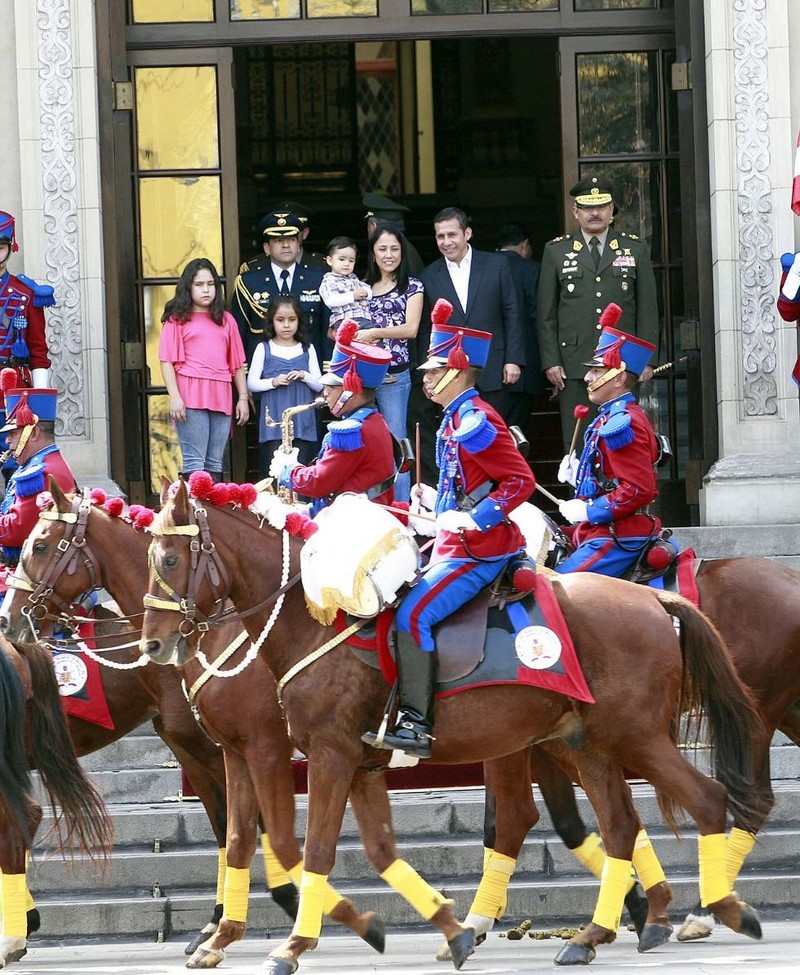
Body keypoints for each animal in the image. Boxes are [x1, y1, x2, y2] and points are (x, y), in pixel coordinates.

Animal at [139, 484, 768, 972]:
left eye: (168, 560)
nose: (153, 645)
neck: (316, 619)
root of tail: (653, 597)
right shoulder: (355, 764)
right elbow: (367, 849)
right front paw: (445, 929)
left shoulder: (321, 753)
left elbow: (309, 847)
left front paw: (292, 945)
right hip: (588, 745)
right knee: (617, 828)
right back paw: (599, 932)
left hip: (634, 737)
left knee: (705, 800)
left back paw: (720, 909)